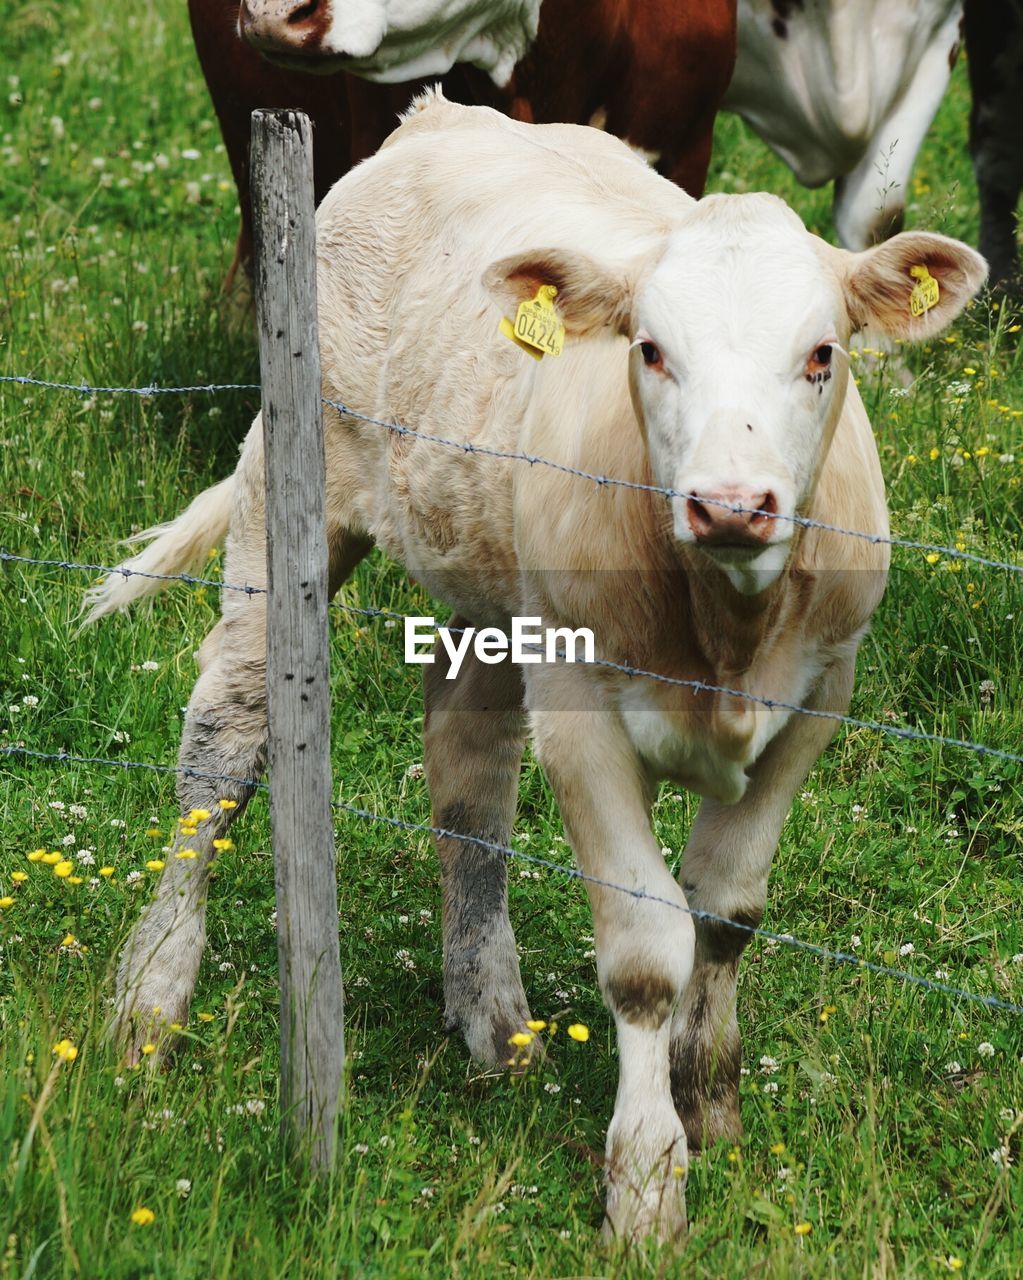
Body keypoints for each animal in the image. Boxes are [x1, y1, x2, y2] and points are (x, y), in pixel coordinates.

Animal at [88, 92, 983, 1239]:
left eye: (822, 352)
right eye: (650, 349)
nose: (732, 504)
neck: (724, 636)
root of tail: (440, 112)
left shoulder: (822, 698)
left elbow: (726, 913)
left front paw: (709, 1101)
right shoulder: (582, 711)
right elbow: (647, 949)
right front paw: (645, 1180)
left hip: (488, 580)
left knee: (466, 760)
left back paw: (492, 1019)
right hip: (285, 498)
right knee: (224, 750)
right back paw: (150, 1002)